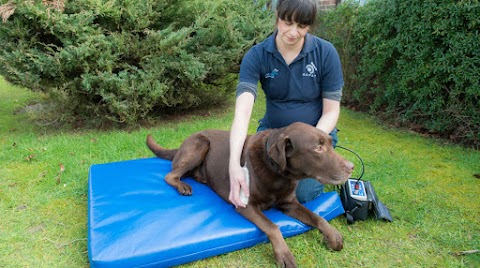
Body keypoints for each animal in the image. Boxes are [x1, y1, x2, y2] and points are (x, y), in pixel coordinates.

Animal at [146, 122, 352, 268]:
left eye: (330, 144)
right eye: (318, 148)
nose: (351, 167)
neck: (278, 173)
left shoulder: (289, 204)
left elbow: (317, 217)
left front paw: (333, 236)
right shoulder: (246, 205)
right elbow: (273, 227)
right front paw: (284, 254)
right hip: (200, 143)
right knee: (170, 175)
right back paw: (182, 186)